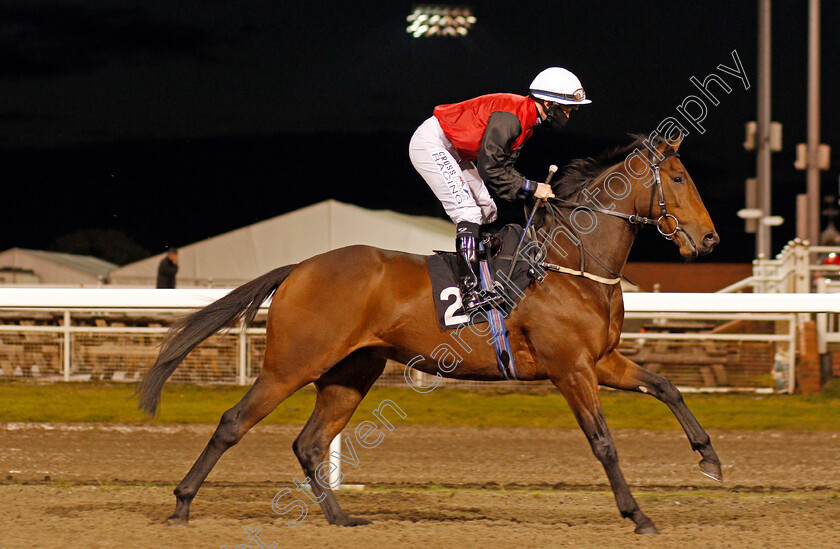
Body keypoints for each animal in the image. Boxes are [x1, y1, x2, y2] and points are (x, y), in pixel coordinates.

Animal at [138, 131, 720, 532]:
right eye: (678, 179)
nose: (710, 239)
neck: (568, 263)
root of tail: (300, 266)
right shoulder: (571, 369)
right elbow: (603, 442)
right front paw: (638, 514)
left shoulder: (601, 361)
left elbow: (667, 387)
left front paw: (709, 459)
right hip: (291, 364)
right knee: (234, 422)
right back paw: (182, 504)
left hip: (352, 371)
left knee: (310, 442)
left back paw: (340, 518)